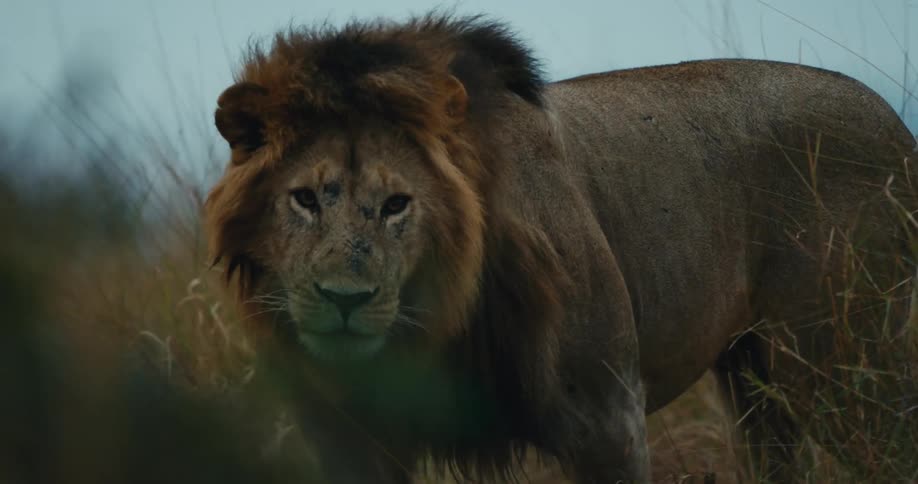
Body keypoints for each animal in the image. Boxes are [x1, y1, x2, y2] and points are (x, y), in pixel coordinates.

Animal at [204, 14, 916, 483]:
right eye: (304, 199)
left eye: (397, 204)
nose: (343, 300)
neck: (436, 324)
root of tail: (895, 121)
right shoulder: (351, 440)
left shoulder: (608, 418)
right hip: (755, 380)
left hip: (843, 363)